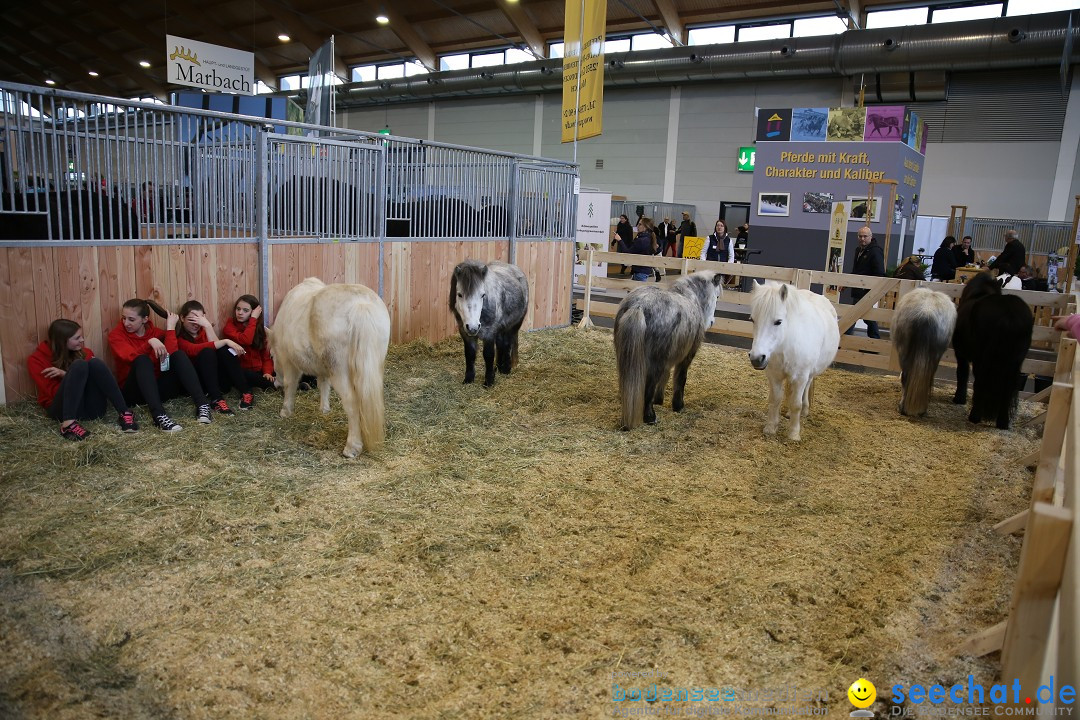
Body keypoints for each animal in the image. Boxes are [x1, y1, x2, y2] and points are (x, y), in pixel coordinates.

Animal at [272, 276, 390, 455]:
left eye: (272, 356)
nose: (275, 384)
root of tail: (360, 305)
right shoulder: (323, 368)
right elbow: (323, 384)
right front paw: (324, 409)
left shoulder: (288, 360)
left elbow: (290, 384)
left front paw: (286, 411)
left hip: (339, 372)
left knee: (351, 403)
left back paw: (352, 447)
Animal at [449, 257, 529, 386]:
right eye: (459, 294)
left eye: (483, 295)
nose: (473, 327)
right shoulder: (465, 333)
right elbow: (470, 354)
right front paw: (469, 379)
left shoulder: (489, 333)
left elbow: (488, 355)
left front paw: (489, 381)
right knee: (501, 344)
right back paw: (498, 367)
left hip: (514, 325)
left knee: (508, 343)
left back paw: (506, 369)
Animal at [613, 268, 721, 427]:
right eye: (717, 296)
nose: (712, 322)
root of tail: (638, 306)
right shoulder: (686, 357)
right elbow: (680, 379)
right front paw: (678, 406)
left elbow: (666, 376)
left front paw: (659, 400)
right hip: (654, 363)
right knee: (649, 387)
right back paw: (650, 417)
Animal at [747, 280, 838, 440]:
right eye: (752, 319)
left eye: (778, 321)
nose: (757, 358)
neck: (785, 344)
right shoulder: (774, 376)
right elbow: (775, 399)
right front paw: (771, 427)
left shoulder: (801, 377)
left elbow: (796, 404)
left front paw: (794, 434)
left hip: (809, 374)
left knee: (806, 388)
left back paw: (805, 410)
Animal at [959, 269, 1032, 427]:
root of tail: (1009, 316)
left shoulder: (961, 353)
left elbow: (962, 373)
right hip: (1014, 361)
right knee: (1008, 387)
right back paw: (1002, 422)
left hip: (983, 358)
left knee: (981, 381)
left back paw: (975, 416)